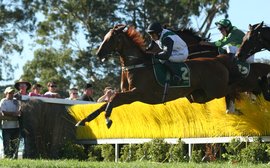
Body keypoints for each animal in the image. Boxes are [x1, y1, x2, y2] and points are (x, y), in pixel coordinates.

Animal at [75, 24, 231, 127]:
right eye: (104, 37)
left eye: (111, 39)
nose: (98, 53)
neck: (136, 64)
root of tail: (217, 60)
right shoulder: (127, 95)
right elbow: (105, 104)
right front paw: (83, 120)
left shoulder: (136, 93)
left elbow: (113, 99)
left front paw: (107, 119)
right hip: (197, 95)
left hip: (215, 90)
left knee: (233, 90)